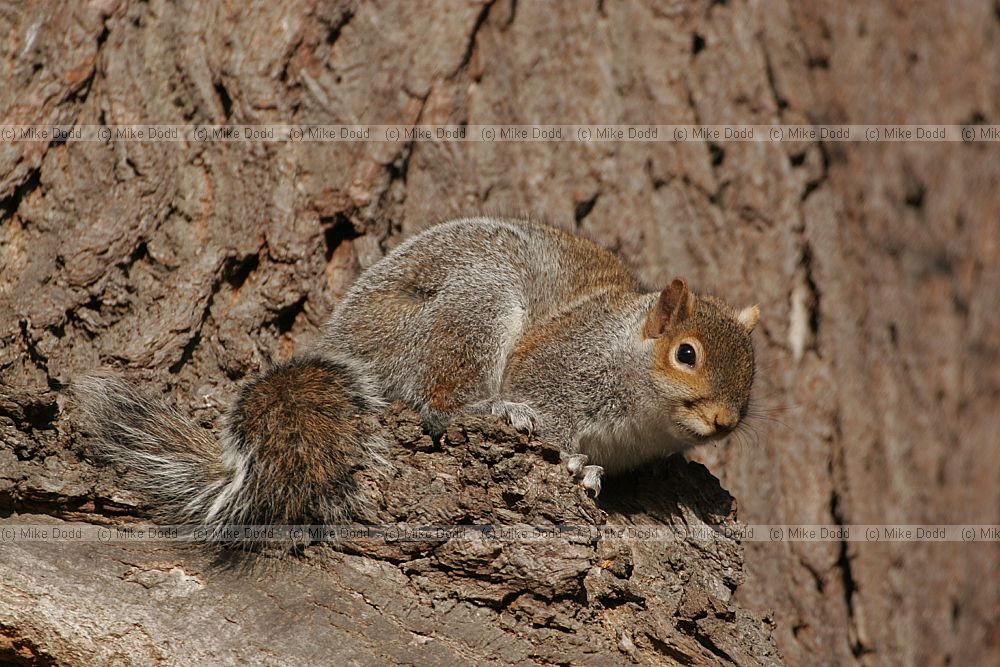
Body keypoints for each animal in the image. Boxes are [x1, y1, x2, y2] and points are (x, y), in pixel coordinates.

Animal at [75, 217, 759, 531]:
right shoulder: (560, 366)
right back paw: (489, 410)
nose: (725, 420)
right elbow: (550, 413)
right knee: (438, 399)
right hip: (474, 307)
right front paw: (571, 461)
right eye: (687, 354)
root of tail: (349, 342)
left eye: (752, 377)